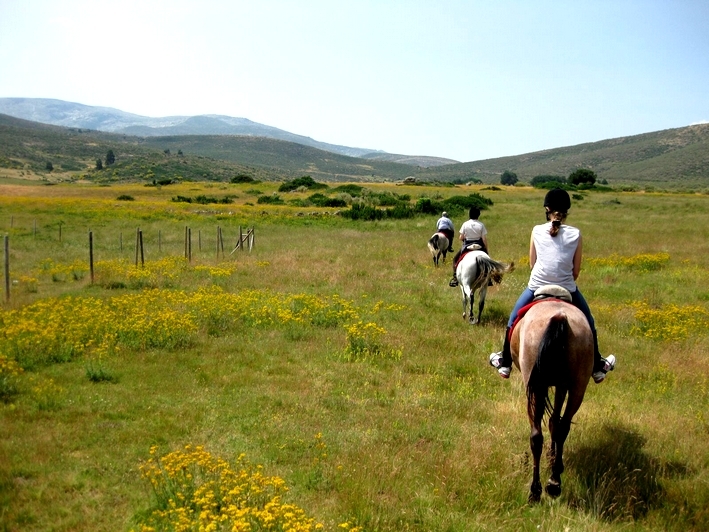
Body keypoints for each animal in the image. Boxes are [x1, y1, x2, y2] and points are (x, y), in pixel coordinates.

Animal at [508, 296, 592, 502]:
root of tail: (559, 317)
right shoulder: (561, 385)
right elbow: (555, 423)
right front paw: (554, 459)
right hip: (577, 387)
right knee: (561, 428)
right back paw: (553, 483)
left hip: (536, 388)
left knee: (537, 435)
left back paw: (537, 490)